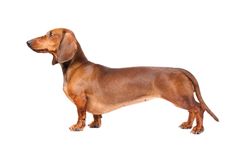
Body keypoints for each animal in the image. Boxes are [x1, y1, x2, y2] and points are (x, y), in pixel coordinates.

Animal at [26, 27, 218, 134]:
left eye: (50, 34)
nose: (27, 42)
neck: (75, 66)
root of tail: (180, 70)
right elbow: (96, 115)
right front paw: (95, 124)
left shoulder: (80, 100)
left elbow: (81, 114)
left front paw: (78, 127)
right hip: (183, 98)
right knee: (192, 110)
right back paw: (188, 125)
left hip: (180, 97)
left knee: (198, 109)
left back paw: (198, 129)